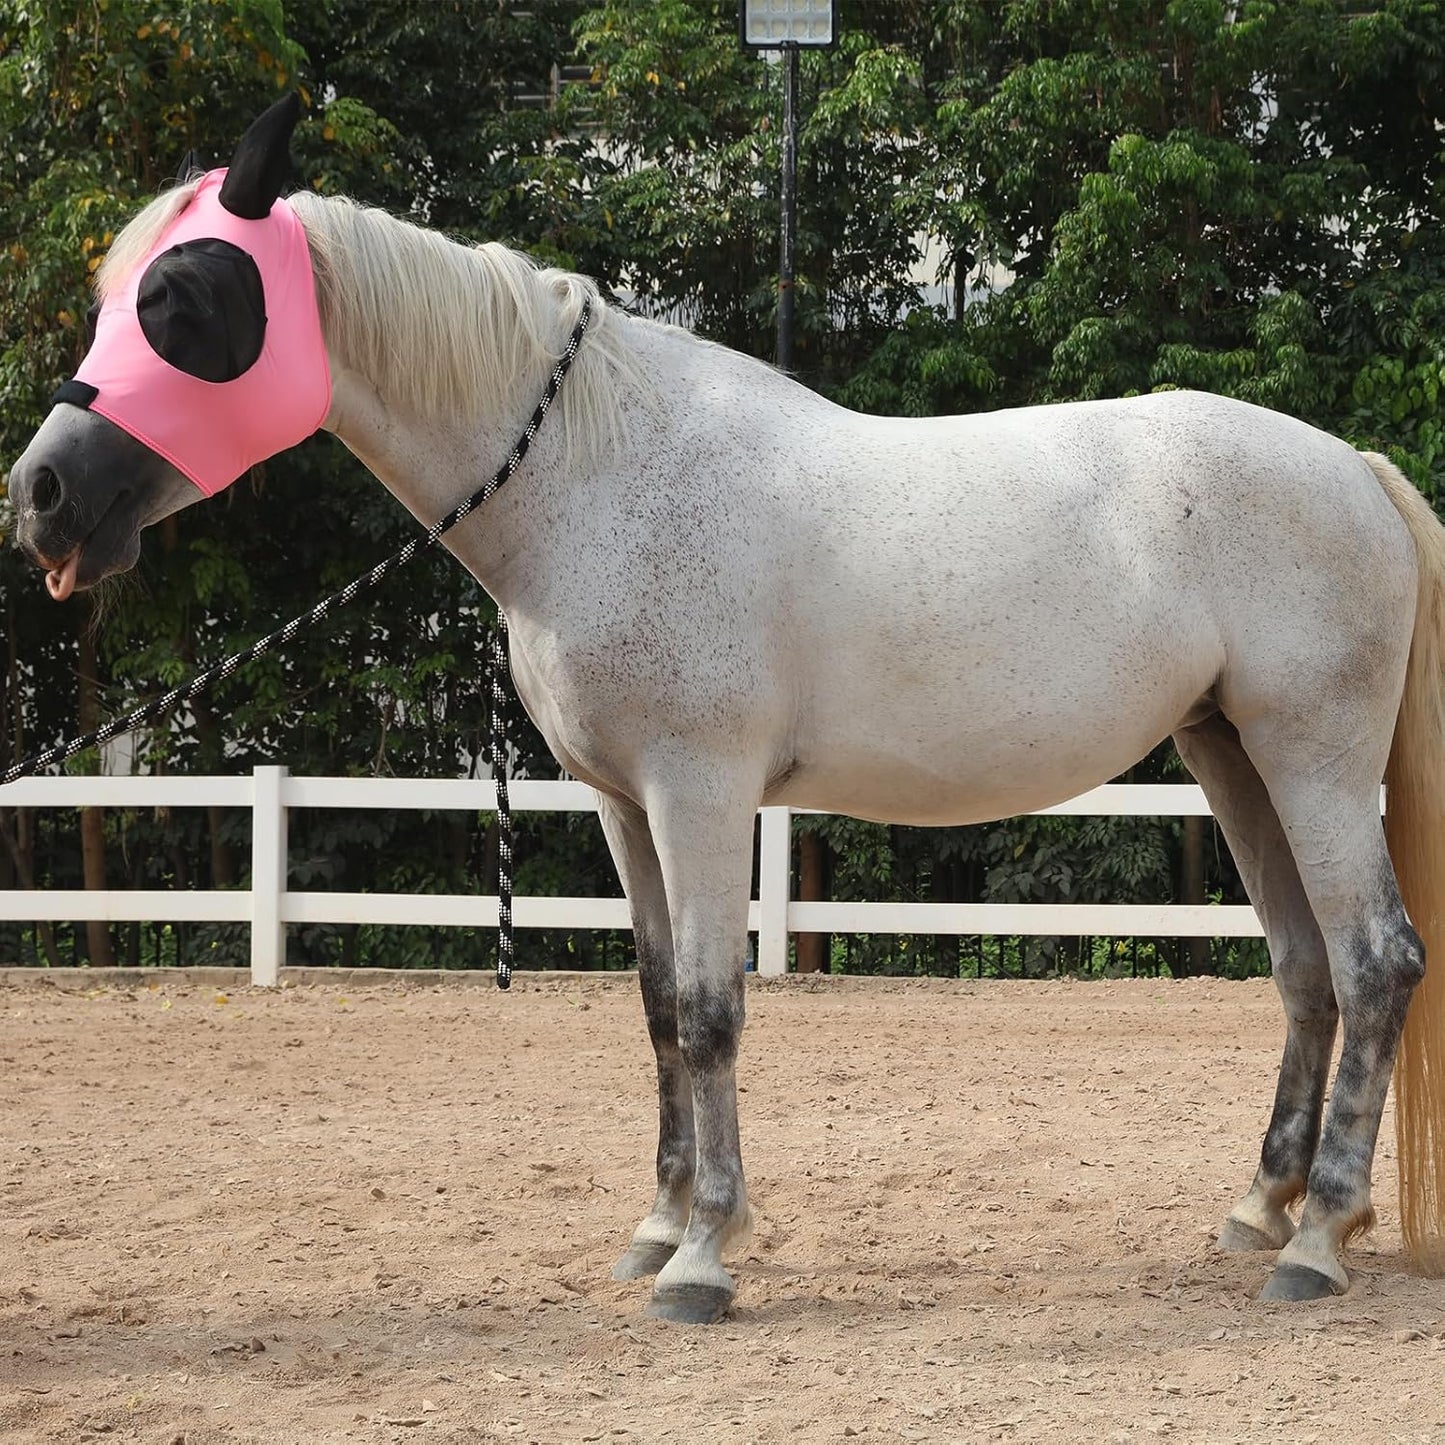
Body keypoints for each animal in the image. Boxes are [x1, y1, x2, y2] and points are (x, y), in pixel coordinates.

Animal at [9, 95, 1445, 1324]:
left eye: (184, 299)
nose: (44, 497)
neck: (597, 474)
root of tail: (1354, 469)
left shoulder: (697, 791)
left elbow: (709, 1008)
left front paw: (701, 1256)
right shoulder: (619, 804)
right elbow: (656, 1003)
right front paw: (660, 1225)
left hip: (1311, 762)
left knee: (1374, 961)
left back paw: (1318, 1239)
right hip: (1230, 754)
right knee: (1305, 968)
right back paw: (1259, 1208)